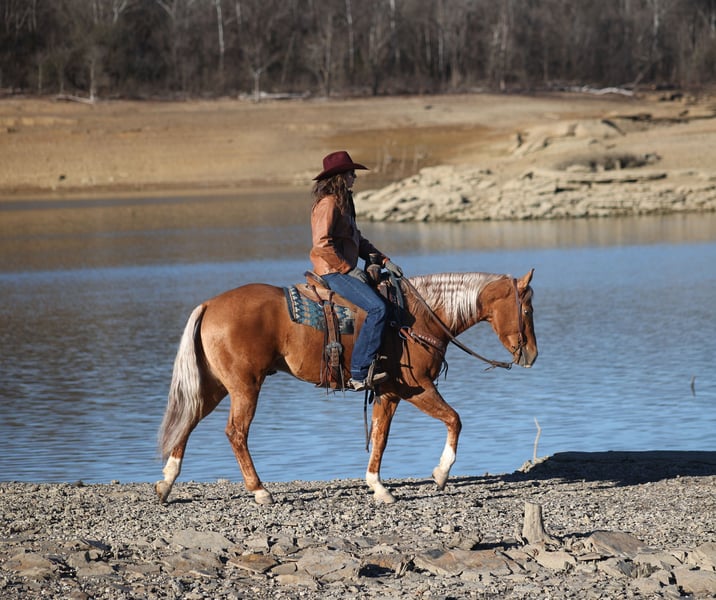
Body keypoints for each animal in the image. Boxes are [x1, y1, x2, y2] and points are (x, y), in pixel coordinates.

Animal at [156, 269, 537, 505]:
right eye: (527, 310)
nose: (532, 355)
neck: (418, 316)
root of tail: (210, 304)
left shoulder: (388, 393)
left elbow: (381, 437)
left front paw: (378, 487)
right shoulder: (417, 388)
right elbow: (455, 420)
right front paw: (441, 474)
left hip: (216, 385)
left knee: (187, 422)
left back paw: (166, 482)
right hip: (245, 386)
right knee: (236, 432)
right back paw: (260, 490)